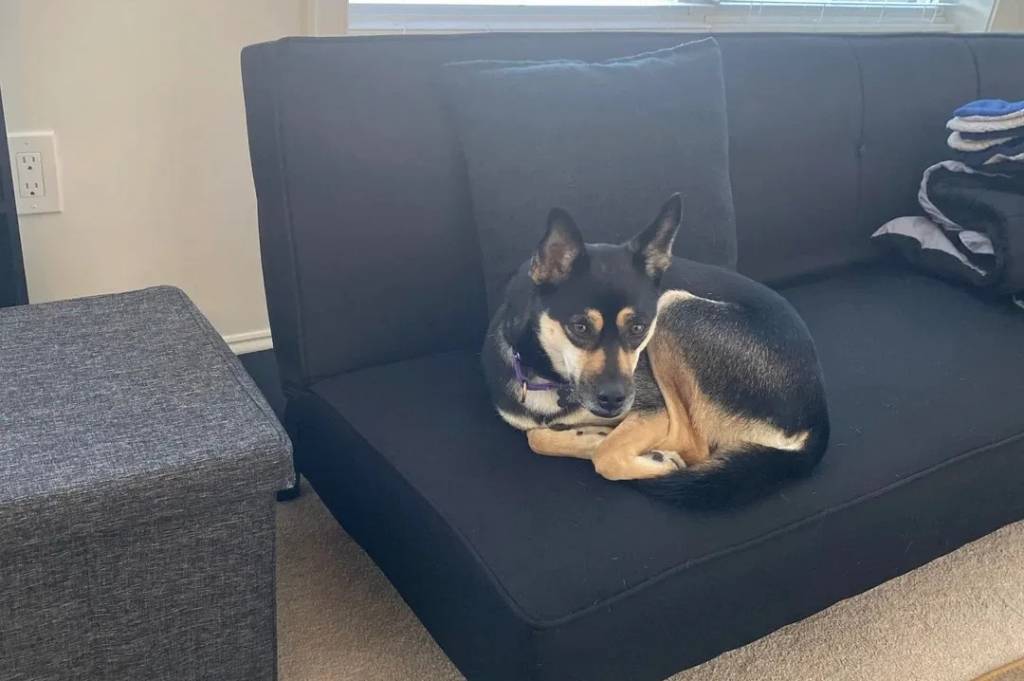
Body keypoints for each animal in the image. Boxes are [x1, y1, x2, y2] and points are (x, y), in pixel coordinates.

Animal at [481, 194, 830, 507]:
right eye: (579, 327)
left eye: (639, 328)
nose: (615, 400)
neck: (549, 377)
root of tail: (816, 414)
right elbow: (536, 437)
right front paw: (588, 435)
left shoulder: (652, 408)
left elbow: (602, 455)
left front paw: (629, 451)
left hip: (673, 307)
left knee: (692, 444)